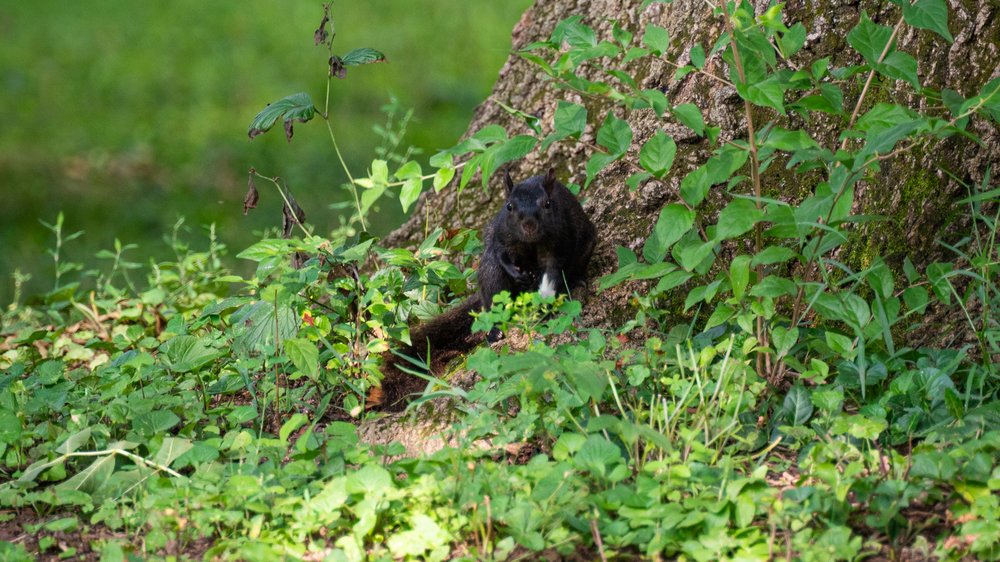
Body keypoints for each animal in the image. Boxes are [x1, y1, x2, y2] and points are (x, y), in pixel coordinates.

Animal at [372, 168, 596, 410]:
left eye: (547, 204)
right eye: (509, 206)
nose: (528, 225)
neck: (530, 243)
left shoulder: (559, 240)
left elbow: (553, 269)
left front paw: (546, 295)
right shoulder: (501, 234)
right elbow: (500, 252)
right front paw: (517, 273)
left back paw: (573, 284)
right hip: (491, 277)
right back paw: (495, 330)